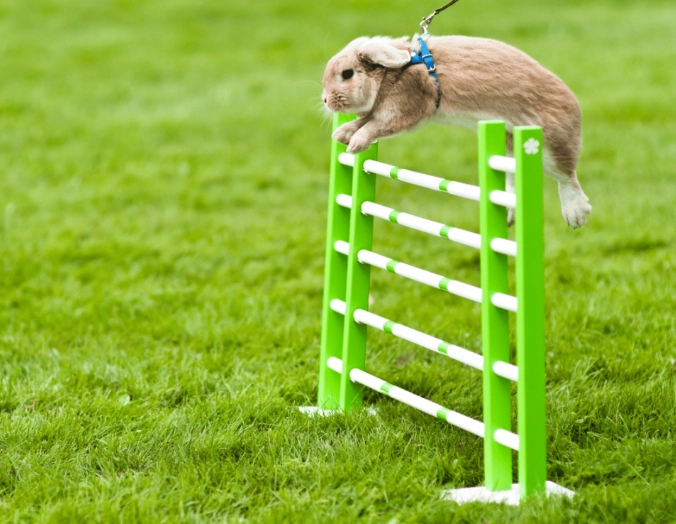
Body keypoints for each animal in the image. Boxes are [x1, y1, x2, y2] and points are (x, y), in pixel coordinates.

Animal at [321, 35, 592, 229]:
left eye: (347, 74)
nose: (325, 100)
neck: (396, 71)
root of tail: (573, 103)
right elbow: (363, 120)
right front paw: (342, 134)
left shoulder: (401, 110)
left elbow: (372, 126)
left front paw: (355, 144)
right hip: (509, 149)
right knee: (512, 184)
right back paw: (509, 215)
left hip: (549, 147)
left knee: (567, 178)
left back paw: (576, 215)